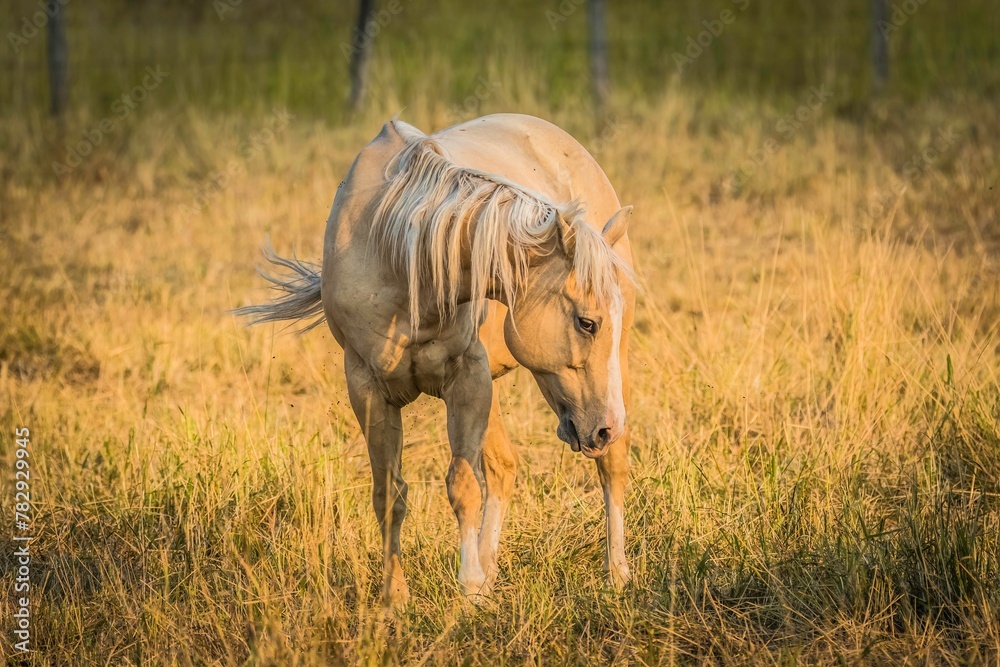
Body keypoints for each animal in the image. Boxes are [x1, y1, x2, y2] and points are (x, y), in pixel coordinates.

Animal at [235, 113, 636, 605]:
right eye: (587, 322)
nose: (604, 428)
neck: (401, 256)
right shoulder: (366, 388)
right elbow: (389, 494)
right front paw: (395, 598)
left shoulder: (467, 379)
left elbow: (463, 485)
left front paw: (471, 591)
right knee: (504, 469)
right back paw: (493, 567)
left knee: (610, 465)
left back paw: (616, 573)